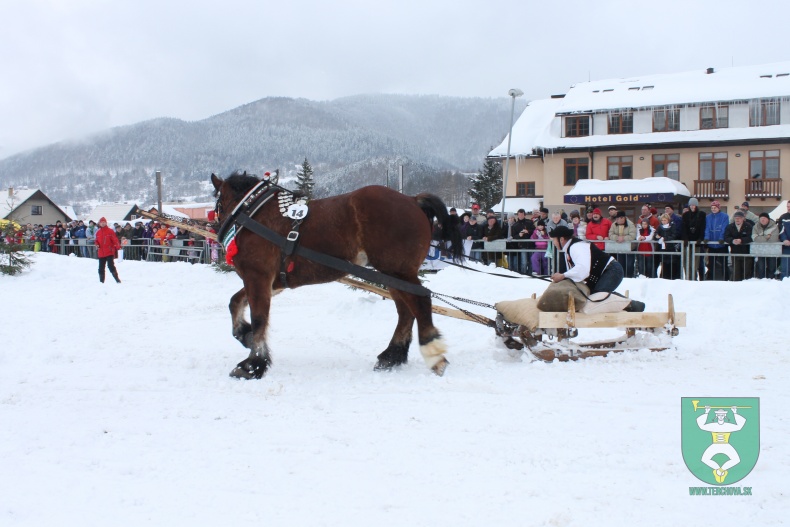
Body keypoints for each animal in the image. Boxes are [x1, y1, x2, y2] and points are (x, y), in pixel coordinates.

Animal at [213, 172, 468, 380]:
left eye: (219, 204)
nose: (218, 229)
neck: (252, 213)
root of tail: (413, 199)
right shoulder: (271, 282)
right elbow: (235, 302)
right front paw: (243, 334)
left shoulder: (257, 276)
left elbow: (259, 319)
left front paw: (252, 364)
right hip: (392, 273)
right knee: (406, 310)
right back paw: (391, 356)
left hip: (398, 270)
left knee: (421, 300)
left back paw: (433, 354)